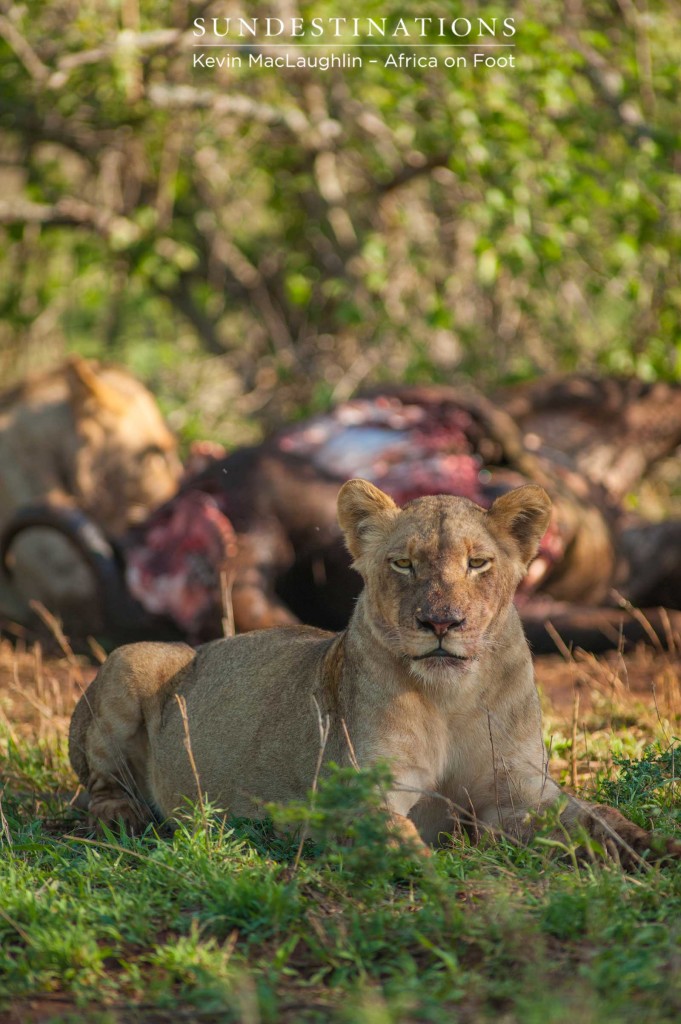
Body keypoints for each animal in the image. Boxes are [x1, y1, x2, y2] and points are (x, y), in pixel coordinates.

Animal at [71, 479, 675, 864]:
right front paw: (427, 873)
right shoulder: (354, 791)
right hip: (131, 659)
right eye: (403, 563)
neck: (451, 696)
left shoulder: (520, 794)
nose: (441, 622)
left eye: (478, 563)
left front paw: (652, 847)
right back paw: (123, 817)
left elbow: (598, 818)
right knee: (100, 783)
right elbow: (392, 836)